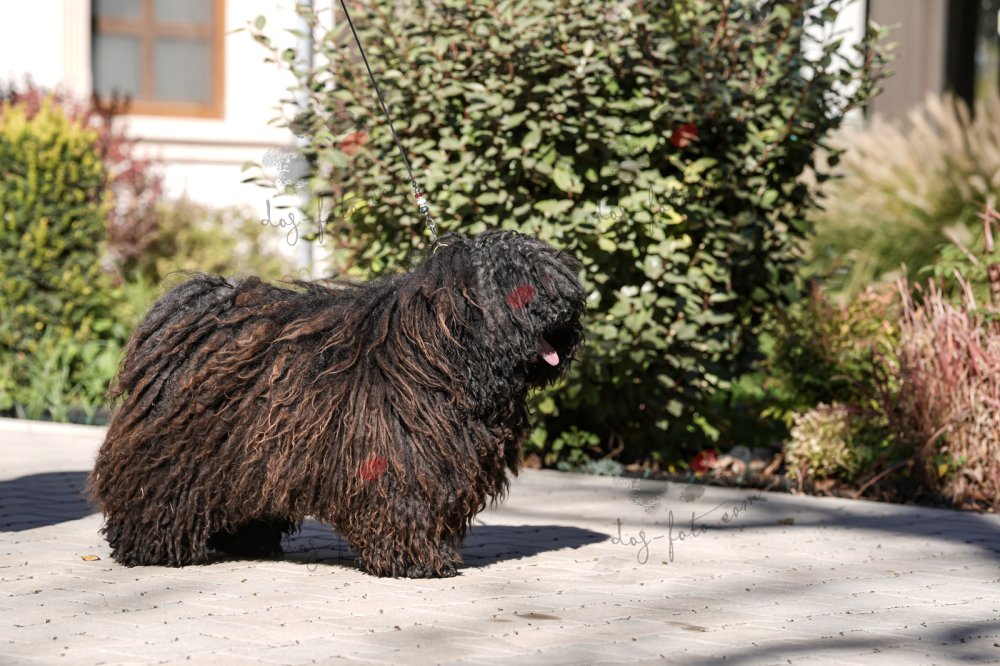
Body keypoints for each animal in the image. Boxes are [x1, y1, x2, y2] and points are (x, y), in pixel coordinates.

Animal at [89, 230, 585, 577]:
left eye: (556, 278)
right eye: (520, 282)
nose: (567, 310)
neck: (444, 352)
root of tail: (194, 312)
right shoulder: (398, 455)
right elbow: (406, 503)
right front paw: (414, 560)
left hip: (248, 453)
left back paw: (245, 539)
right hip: (179, 451)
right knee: (155, 487)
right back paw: (151, 546)